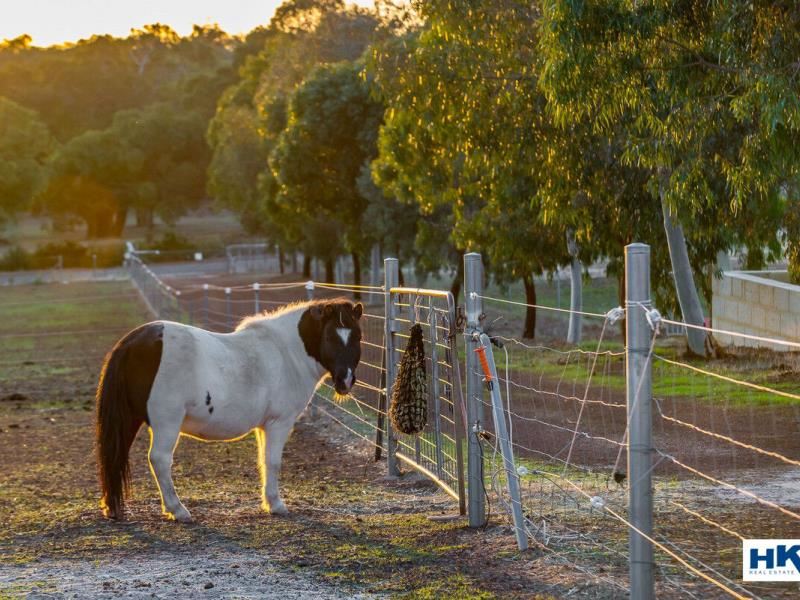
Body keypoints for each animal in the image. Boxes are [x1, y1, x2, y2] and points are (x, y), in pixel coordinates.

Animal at [94, 298, 366, 520]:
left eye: (357, 337)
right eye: (330, 337)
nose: (345, 380)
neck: (285, 352)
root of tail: (133, 341)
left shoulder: (263, 426)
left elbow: (262, 460)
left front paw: (268, 502)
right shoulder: (279, 423)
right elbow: (273, 461)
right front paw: (276, 505)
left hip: (131, 420)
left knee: (118, 456)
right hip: (166, 424)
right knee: (159, 460)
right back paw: (178, 510)